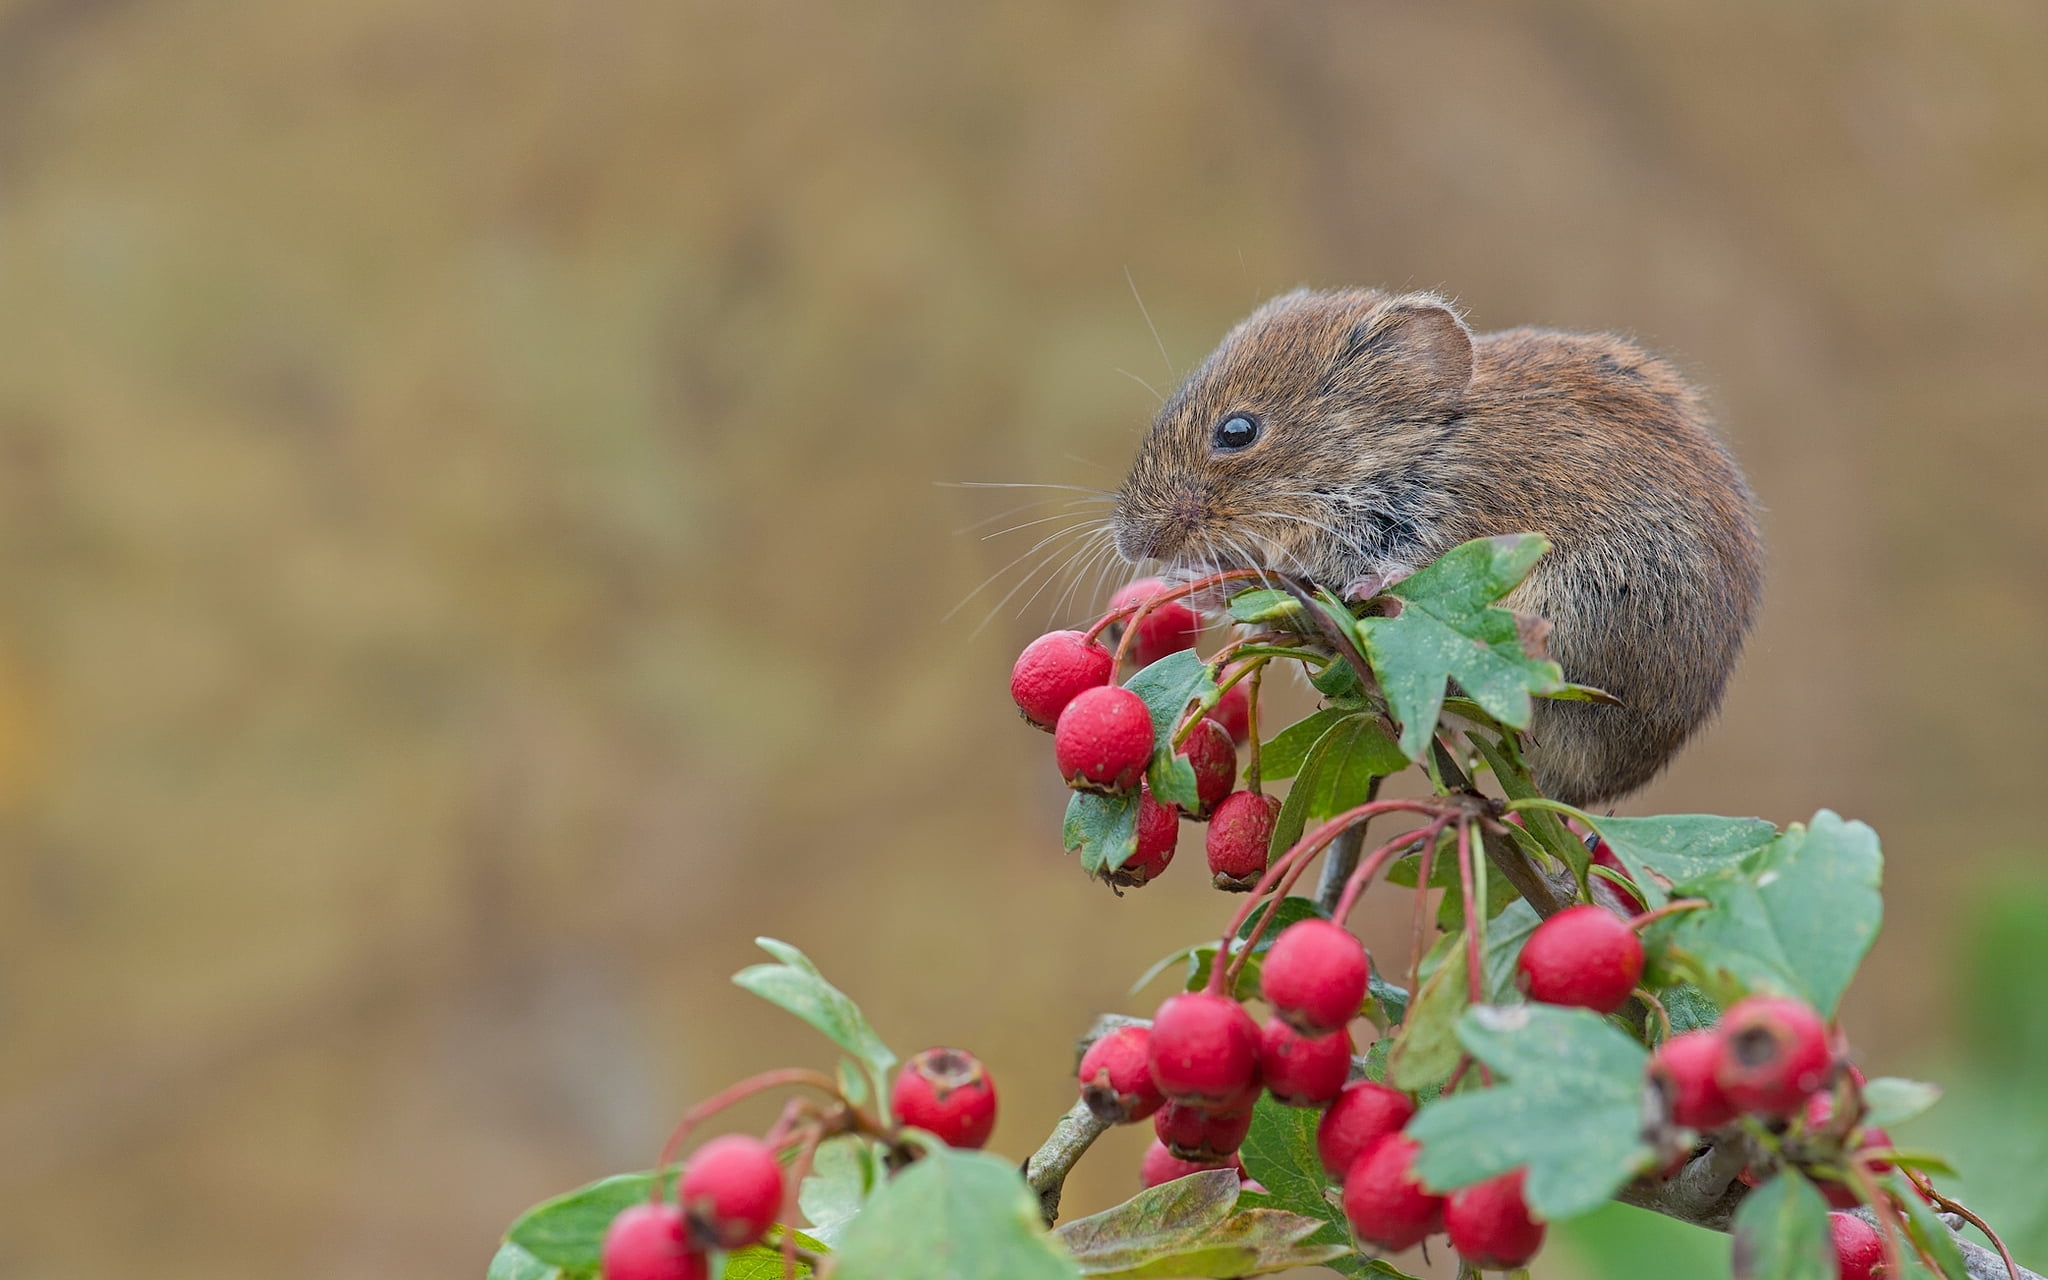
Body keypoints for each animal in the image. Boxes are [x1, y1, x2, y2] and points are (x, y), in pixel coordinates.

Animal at [1111, 288, 1763, 807]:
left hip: (1573, 613)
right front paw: (1201, 589)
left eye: (1237, 431)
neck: (1414, 447)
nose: (1131, 542)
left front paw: (1370, 584)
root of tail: (1587, 795)